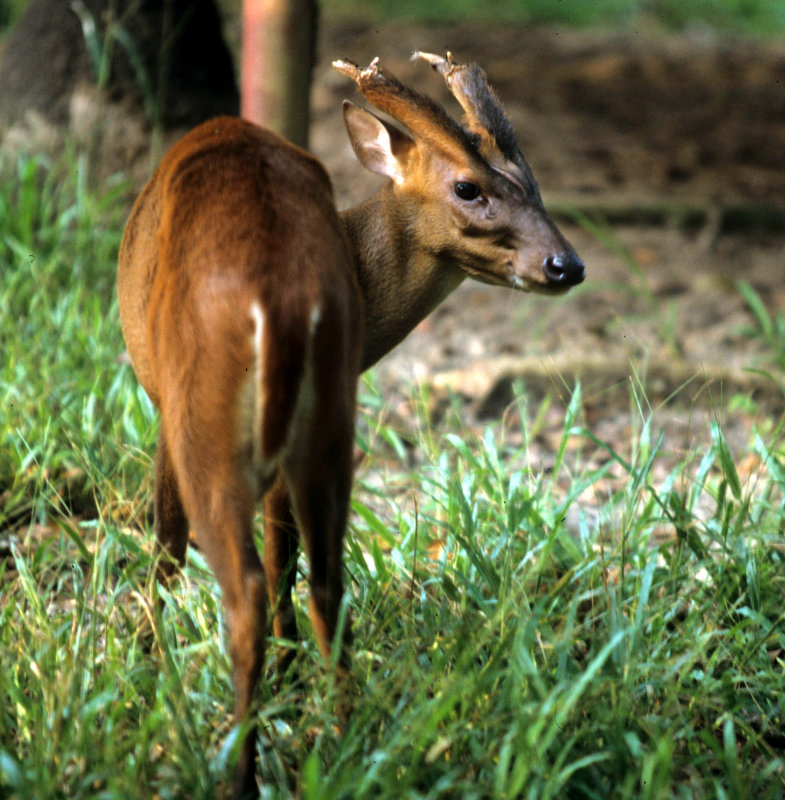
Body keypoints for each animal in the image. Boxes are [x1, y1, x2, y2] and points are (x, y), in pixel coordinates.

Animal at [116, 53, 580, 796]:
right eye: (469, 187)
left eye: (531, 184)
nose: (567, 264)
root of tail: (282, 298)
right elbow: (286, 558)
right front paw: (289, 681)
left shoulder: (161, 404)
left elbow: (165, 544)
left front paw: (144, 668)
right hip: (331, 425)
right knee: (326, 583)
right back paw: (341, 742)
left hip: (204, 421)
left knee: (241, 587)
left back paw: (238, 766)